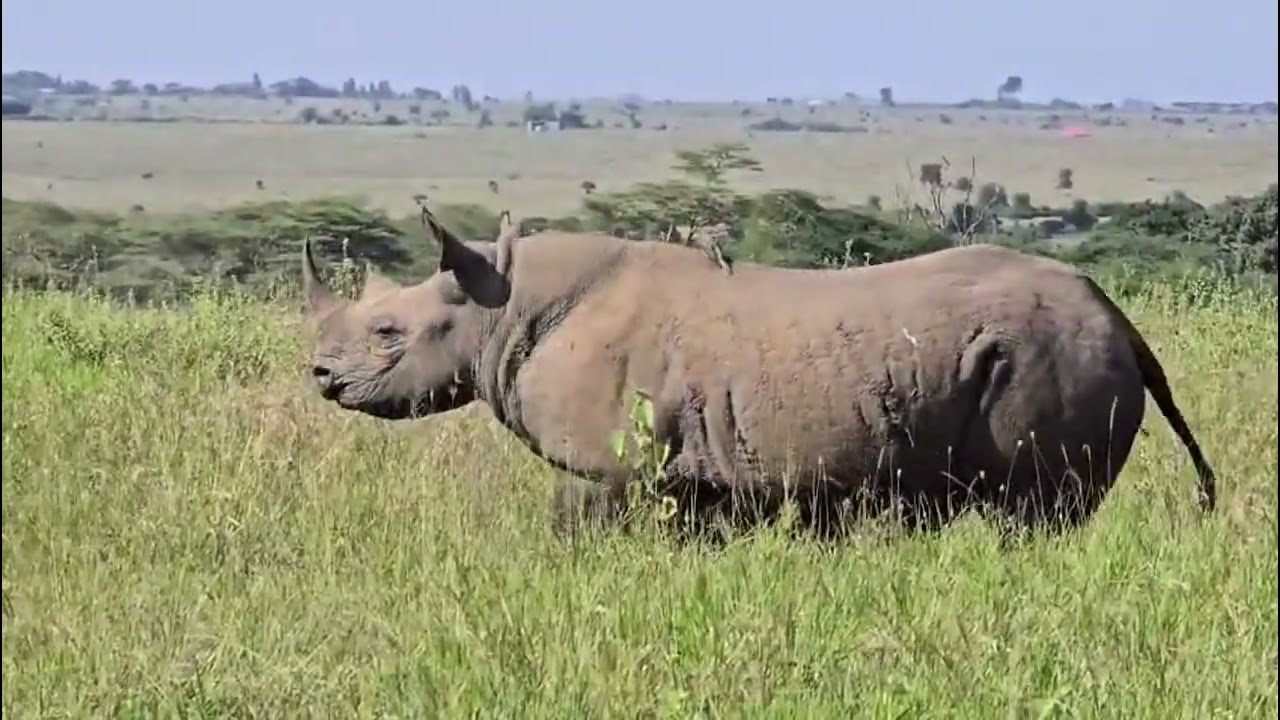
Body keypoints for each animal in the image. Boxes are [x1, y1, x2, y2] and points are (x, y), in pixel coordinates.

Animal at [301, 208, 1216, 537]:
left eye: (387, 331)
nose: (319, 376)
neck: (500, 302)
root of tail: (1118, 318)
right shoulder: (698, 472)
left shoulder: (615, 469)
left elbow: (574, 530)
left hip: (1056, 352)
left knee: (1035, 514)